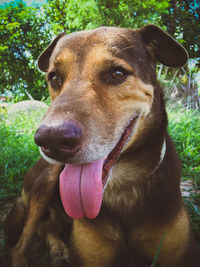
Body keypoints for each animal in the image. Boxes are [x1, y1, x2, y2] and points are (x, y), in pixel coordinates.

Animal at [3, 25, 199, 267]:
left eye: (117, 73)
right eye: (54, 77)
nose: (51, 140)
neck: (123, 185)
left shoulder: (178, 252)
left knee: (46, 226)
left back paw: (58, 248)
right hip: (46, 180)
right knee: (24, 240)